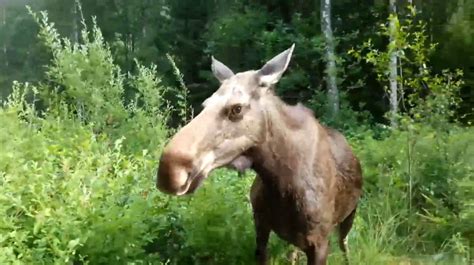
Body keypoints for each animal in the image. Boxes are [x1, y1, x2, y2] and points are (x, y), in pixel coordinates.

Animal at [156, 44, 362, 262]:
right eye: (205, 104)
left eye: (237, 108)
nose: (168, 171)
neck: (281, 182)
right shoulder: (260, 224)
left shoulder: (320, 242)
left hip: (350, 214)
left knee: (344, 244)